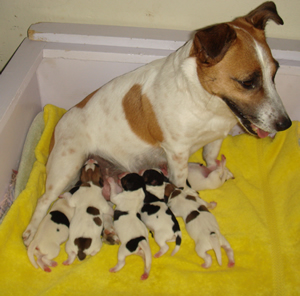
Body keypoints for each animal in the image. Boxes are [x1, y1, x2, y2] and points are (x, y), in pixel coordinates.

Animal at [23, 2, 290, 246]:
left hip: (101, 182)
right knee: (44, 200)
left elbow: (212, 159)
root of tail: (59, 125)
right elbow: (181, 185)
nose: (285, 124)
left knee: (105, 208)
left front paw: (217, 171)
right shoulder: (178, 153)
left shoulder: (215, 138)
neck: (204, 101)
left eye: (275, 73)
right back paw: (30, 232)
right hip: (66, 167)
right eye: (248, 82)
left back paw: (109, 231)